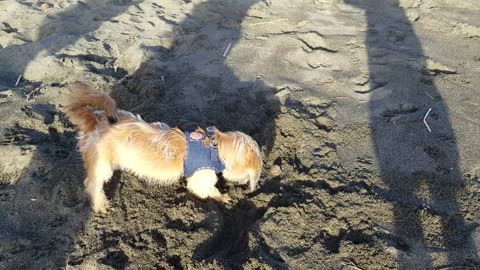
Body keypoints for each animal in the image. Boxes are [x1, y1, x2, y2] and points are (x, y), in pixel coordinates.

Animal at [61, 82, 262, 213]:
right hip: (102, 165)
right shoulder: (201, 179)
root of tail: (93, 119)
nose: (244, 183)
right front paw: (223, 198)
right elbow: (207, 190)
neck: (215, 148)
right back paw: (100, 205)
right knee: (92, 183)